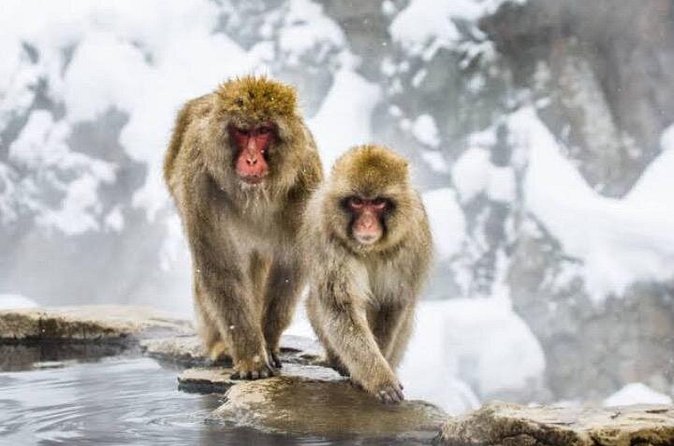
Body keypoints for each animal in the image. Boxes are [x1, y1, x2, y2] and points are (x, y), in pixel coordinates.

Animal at [164, 76, 323, 379]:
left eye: (262, 131)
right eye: (241, 131)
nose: (250, 160)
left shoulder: (304, 183)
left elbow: (291, 265)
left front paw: (268, 341)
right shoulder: (200, 185)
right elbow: (221, 268)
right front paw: (251, 356)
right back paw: (221, 346)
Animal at [302, 144, 432, 403]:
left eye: (379, 203)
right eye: (357, 202)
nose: (366, 224)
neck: (370, 249)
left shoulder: (410, 242)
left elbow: (392, 304)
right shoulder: (327, 239)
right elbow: (342, 309)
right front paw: (380, 380)